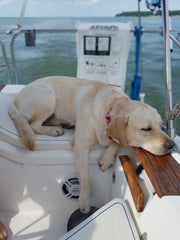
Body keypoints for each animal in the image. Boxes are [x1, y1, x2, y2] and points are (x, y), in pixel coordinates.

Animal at [8, 76, 174, 213]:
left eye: (160, 125)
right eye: (146, 129)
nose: (172, 145)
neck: (110, 110)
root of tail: (14, 101)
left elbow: (116, 143)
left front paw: (106, 159)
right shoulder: (80, 144)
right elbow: (86, 177)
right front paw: (84, 202)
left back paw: (63, 123)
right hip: (48, 95)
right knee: (33, 125)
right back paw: (53, 129)